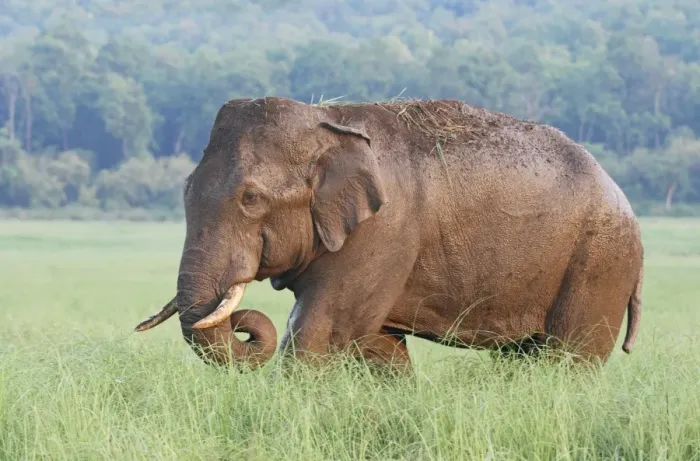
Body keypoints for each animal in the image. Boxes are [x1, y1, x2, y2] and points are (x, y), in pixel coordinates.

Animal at [134, 97, 644, 371]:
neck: (327, 122)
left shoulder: (384, 231)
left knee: (569, 357)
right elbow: (377, 345)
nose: (244, 326)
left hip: (599, 262)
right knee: (522, 357)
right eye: (185, 190)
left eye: (250, 199)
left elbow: (324, 331)